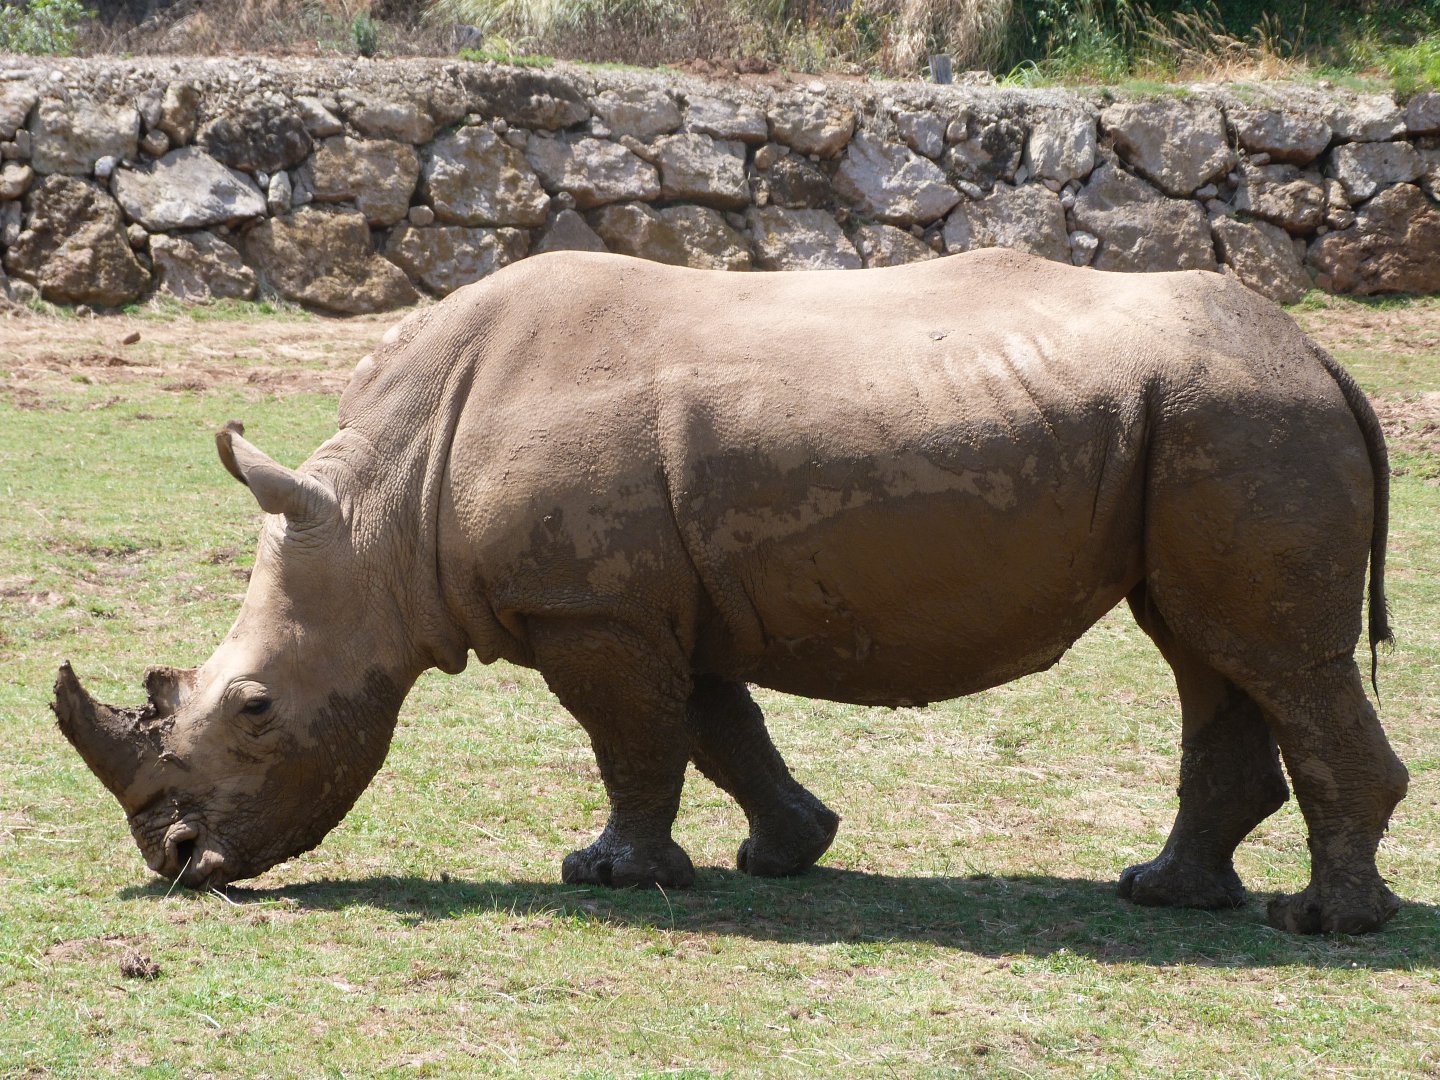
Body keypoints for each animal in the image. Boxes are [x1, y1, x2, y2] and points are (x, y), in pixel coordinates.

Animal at [55, 248, 1408, 934]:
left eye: (256, 711)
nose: (177, 857)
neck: (383, 513)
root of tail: (1319, 354)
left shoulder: (590, 611)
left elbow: (636, 741)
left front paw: (607, 876)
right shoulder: (652, 603)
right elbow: (718, 728)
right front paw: (787, 852)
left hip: (1242, 420)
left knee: (1267, 655)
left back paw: (1322, 927)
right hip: (1205, 425)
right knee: (1206, 648)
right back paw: (1168, 894)